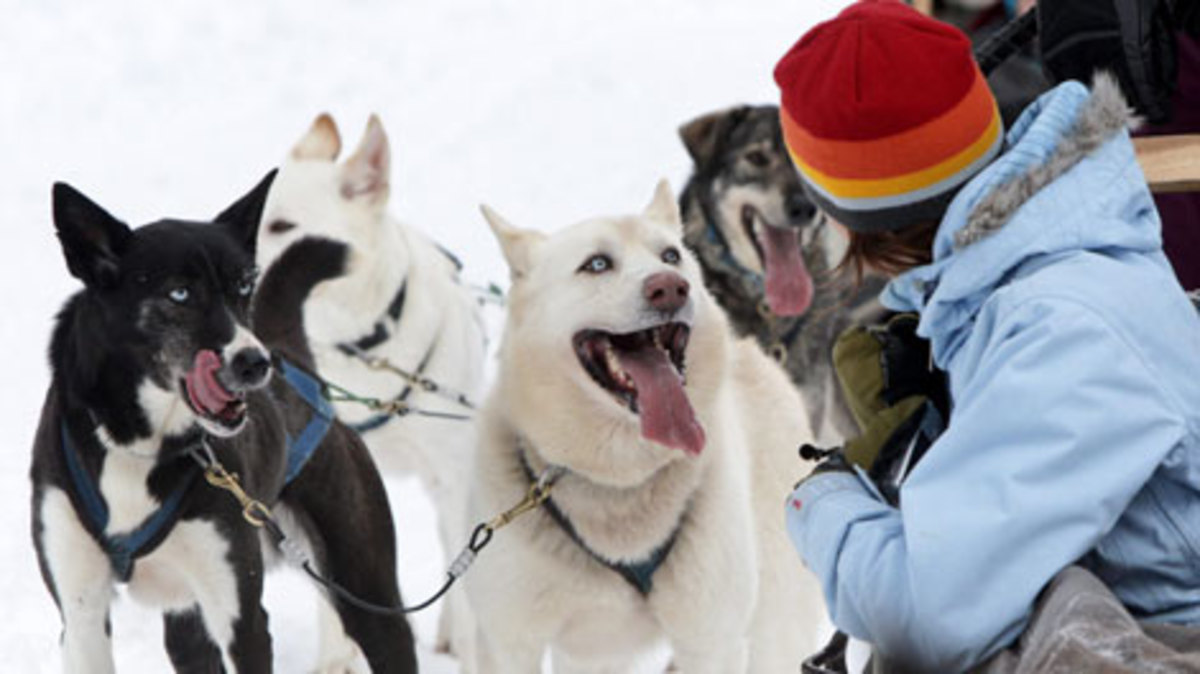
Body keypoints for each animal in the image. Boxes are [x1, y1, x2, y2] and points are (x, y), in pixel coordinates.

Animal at [30, 170, 420, 666]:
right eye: (179, 293)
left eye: (243, 286)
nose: (255, 363)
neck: (140, 446)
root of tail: (293, 357)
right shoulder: (81, 614)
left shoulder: (241, 618)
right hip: (188, 626)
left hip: (366, 594)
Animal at [465, 181, 825, 666]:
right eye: (597, 263)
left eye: (671, 255)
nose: (670, 287)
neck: (619, 480)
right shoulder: (510, 643)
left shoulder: (710, 642)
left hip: (774, 626)